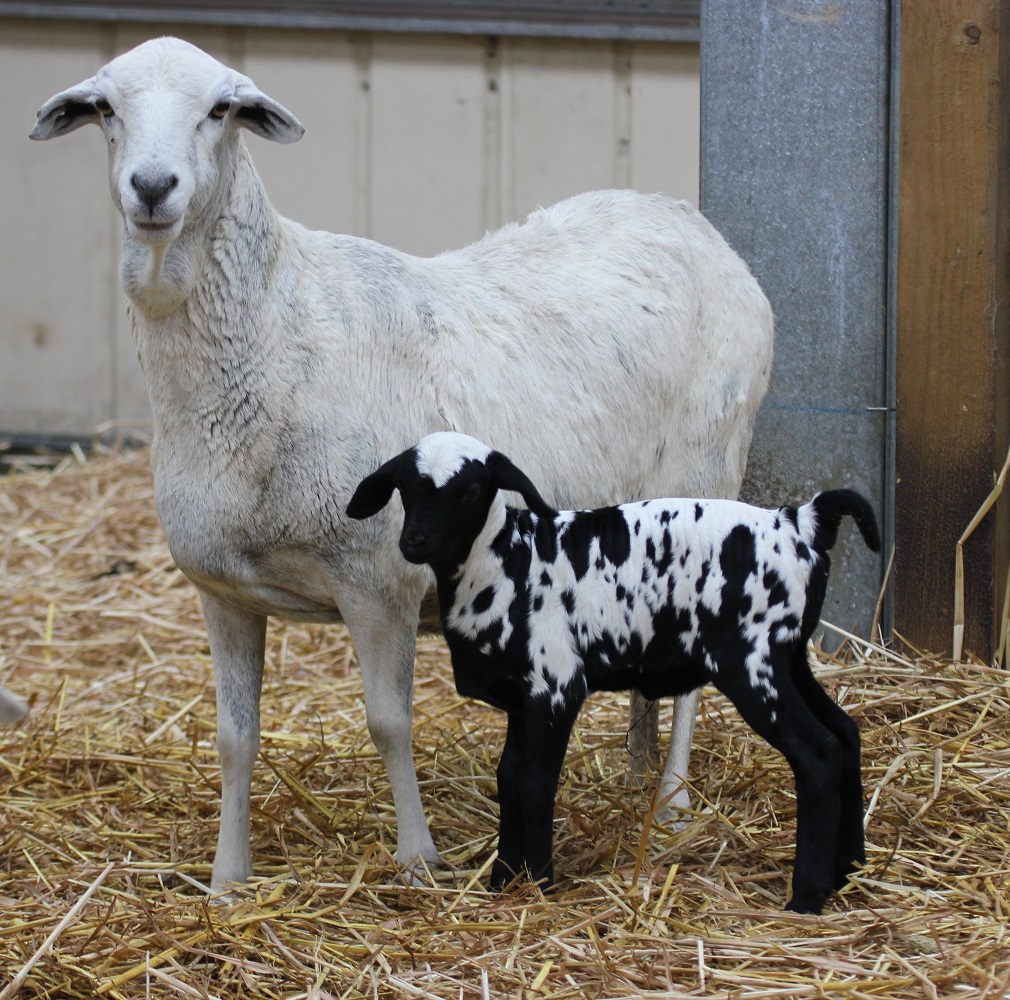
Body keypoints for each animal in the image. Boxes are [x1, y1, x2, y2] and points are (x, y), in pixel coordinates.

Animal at [31, 37, 771, 892]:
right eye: (105, 108)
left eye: (220, 109)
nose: (153, 187)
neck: (271, 335)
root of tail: (687, 219)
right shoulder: (223, 590)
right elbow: (233, 737)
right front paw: (226, 880)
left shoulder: (376, 579)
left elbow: (388, 722)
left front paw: (419, 860)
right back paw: (638, 773)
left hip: (705, 478)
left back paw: (675, 800)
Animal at [349, 432, 884, 917]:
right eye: (404, 487)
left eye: (471, 490)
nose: (413, 542)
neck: (501, 562)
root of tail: (800, 522)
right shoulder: (525, 699)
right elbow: (508, 778)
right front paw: (504, 879)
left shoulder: (557, 686)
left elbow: (533, 782)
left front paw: (540, 882)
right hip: (789, 659)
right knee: (846, 733)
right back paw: (849, 870)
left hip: (754, 663)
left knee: (818, 751)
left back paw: (807, 898)